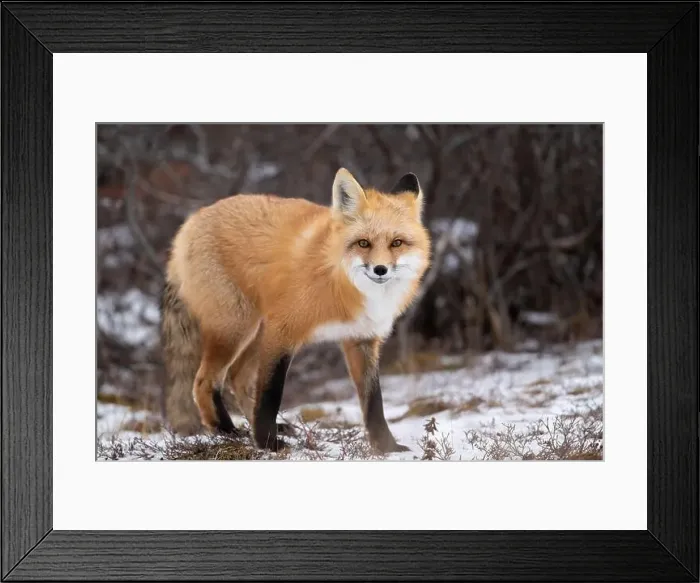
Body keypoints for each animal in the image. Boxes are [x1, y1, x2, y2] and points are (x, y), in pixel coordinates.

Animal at [160, 167, 431, 452]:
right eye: (363, 243)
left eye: (397, 243)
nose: (380, 269)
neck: (339, 281)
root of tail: (191, 222)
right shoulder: (283, 332)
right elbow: (270, 394)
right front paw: (267, 444)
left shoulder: (362, 339)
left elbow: (373, 403)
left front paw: (387, 447)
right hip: (235, 330)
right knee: (204, 382)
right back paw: (228, 431)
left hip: (255, 333)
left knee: (237, 379)